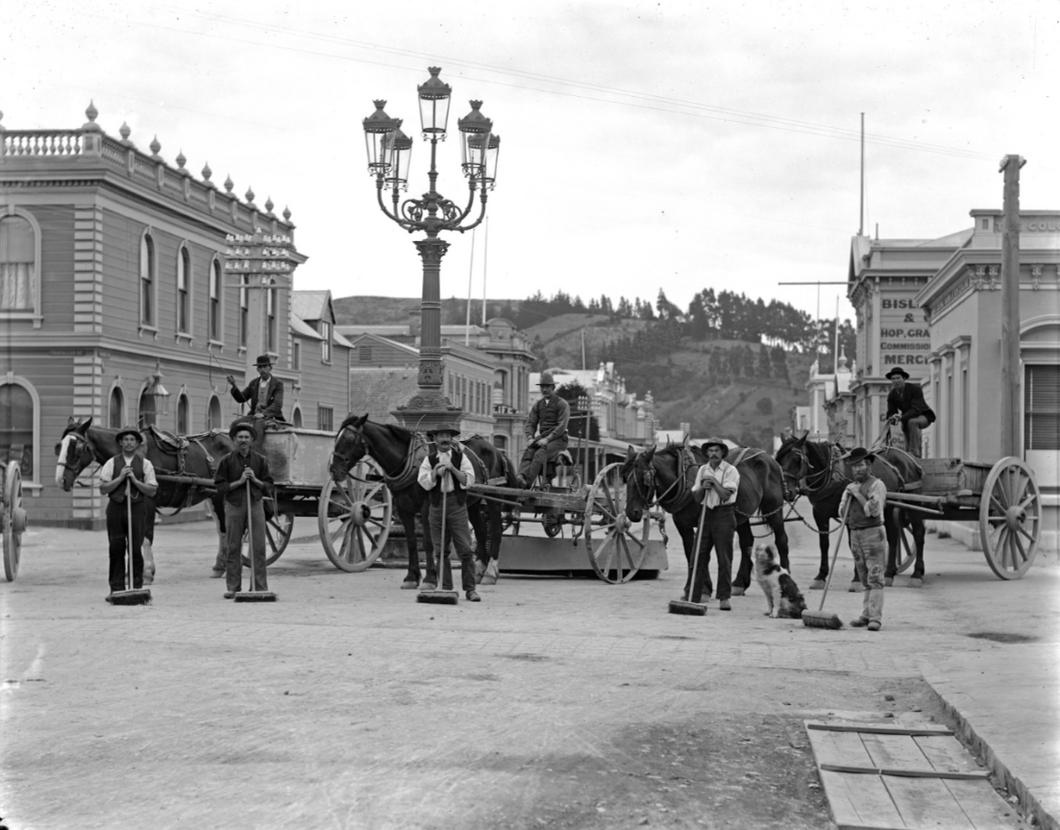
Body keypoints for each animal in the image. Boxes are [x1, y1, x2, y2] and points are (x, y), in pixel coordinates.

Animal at [55, 419, 234, 576]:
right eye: (59, 447)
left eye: (77, 449)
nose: (60, 480)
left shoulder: (149, 502)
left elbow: (146, 536)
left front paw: (147, 570)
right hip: (214, 496)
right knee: (222, 529)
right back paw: (220, 565)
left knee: (226, 527)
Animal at [326, 411, 517, 589]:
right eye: (337, 439)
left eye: (349, 440)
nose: (334, 470)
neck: (408, 461)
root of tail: (495, 450)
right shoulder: (403, 507)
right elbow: (411, 541)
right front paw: (411, 577)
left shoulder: (427, 506)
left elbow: (427, 541)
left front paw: (430, 579)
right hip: (474, 502)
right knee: (481, 531)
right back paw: (479, 570)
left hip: (494, 498)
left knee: (496, 530)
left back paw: (490, 572)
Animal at [619, 445, 797, 602]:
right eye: (624, 476)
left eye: (644, 477)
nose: (632, 512)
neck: (684, 481)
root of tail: (768, 457)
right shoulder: (682, 524)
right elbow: (691, 552)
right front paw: (693, 590)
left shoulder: (704, 521)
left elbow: (701, 553)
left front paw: (702, 590)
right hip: (741, 515)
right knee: (747, 541)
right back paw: (739, 583)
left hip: (773, 507)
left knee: (781, 540)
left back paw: (786, 579)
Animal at [771, 432, 928, 589]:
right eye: (777, 461)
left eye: (796, 459)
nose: (786, 492)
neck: (831, 474)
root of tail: (908, 457)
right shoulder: (820, 514)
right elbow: (824, 544)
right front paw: (821, 576)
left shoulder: (849, 513)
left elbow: (852, 543)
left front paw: (857, 579)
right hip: (888, 507)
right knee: (893, 535)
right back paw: (889, 574)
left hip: (912, 501)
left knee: (918, 533)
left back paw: (917, 574)